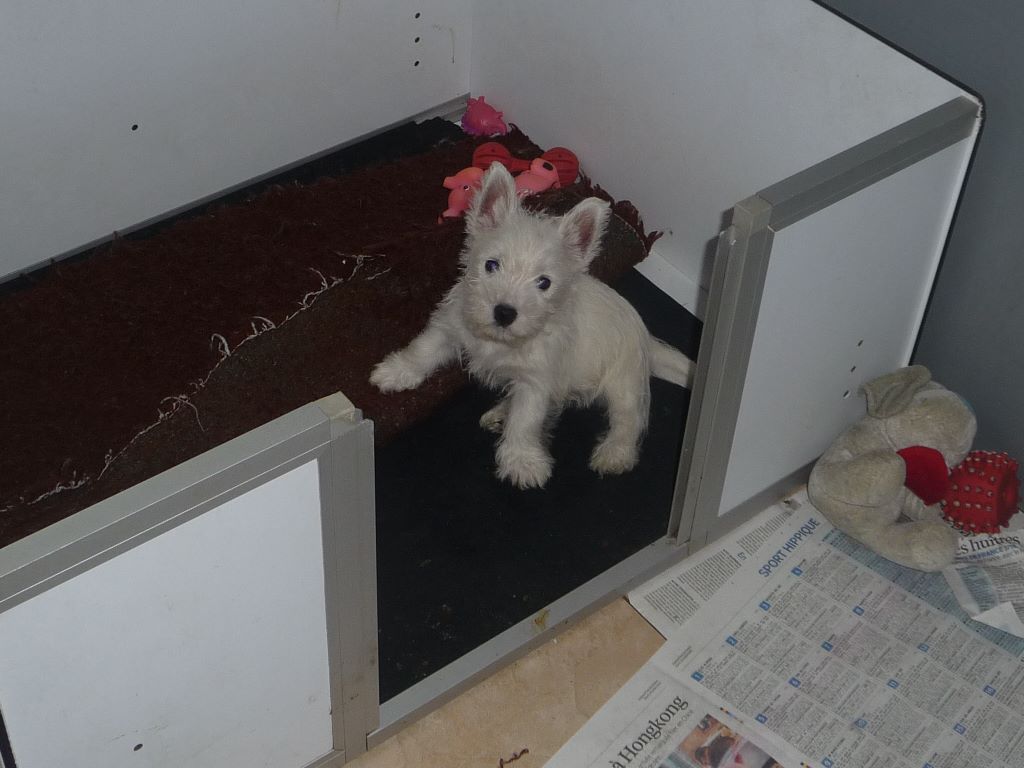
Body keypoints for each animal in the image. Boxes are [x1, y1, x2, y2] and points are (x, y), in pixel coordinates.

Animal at [370, 162, 694, 489]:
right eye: (491, 265)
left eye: (544, 283)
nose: (504, 313)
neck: (500, 341)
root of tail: (647, 339)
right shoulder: (449, 327)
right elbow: (423, 350)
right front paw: (394, 373)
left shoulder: (535, 381)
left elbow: (526, 421)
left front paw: (522, 462)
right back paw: (500, 413)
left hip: (624, 382)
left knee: (629, 420)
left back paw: (615, 454)